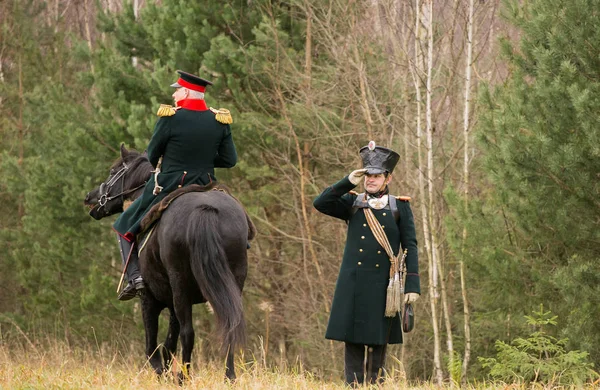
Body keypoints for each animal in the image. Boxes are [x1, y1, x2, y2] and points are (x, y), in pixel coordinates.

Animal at [84, 145, 253, 380]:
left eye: (112, 172)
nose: (90, 197)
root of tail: (205, 208)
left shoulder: (149, 299)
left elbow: (152, 346)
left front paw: (162, 372)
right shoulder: (173, 303)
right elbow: (169, 342)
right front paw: (167, 371)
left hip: (179, 285)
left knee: (188, 332)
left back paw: (185, 376)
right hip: (233, 281)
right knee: (229, 324)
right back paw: (229, 377)